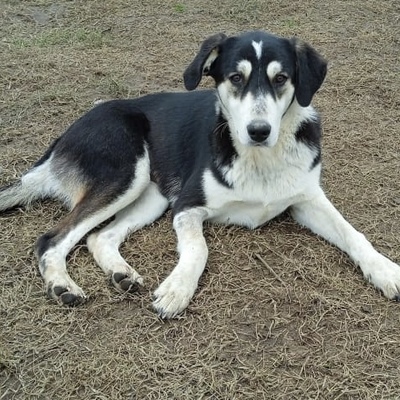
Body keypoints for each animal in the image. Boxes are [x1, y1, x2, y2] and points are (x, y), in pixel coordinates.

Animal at [0, 31, 400, 318]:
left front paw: (386, 271)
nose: (259, 131)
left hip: (152, 195)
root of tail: (63, 136)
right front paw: (177, 289)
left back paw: (121, 274)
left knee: (101, 236)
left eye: (281, 78)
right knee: (52, 239)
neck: (260, 158)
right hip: (126, 173)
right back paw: (62, 286)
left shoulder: (307, 201)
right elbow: (199, 249)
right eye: (235, 77)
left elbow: (355, 235)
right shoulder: (188, 206)